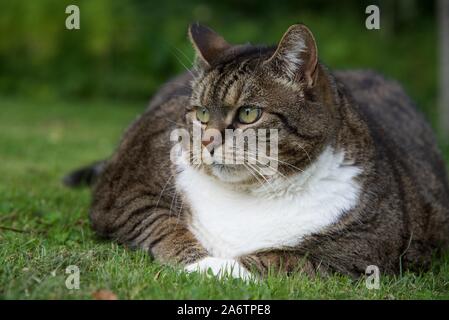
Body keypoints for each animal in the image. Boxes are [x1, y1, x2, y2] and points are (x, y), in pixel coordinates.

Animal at [65, 22, 448, 278]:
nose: (207, 141)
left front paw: (220, 269)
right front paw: (201, 263)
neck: (251, 192)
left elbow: (283, 259)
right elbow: (161, 224)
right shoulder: (124, 191)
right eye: (201, 114)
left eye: (249, 113)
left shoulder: (368, 246)